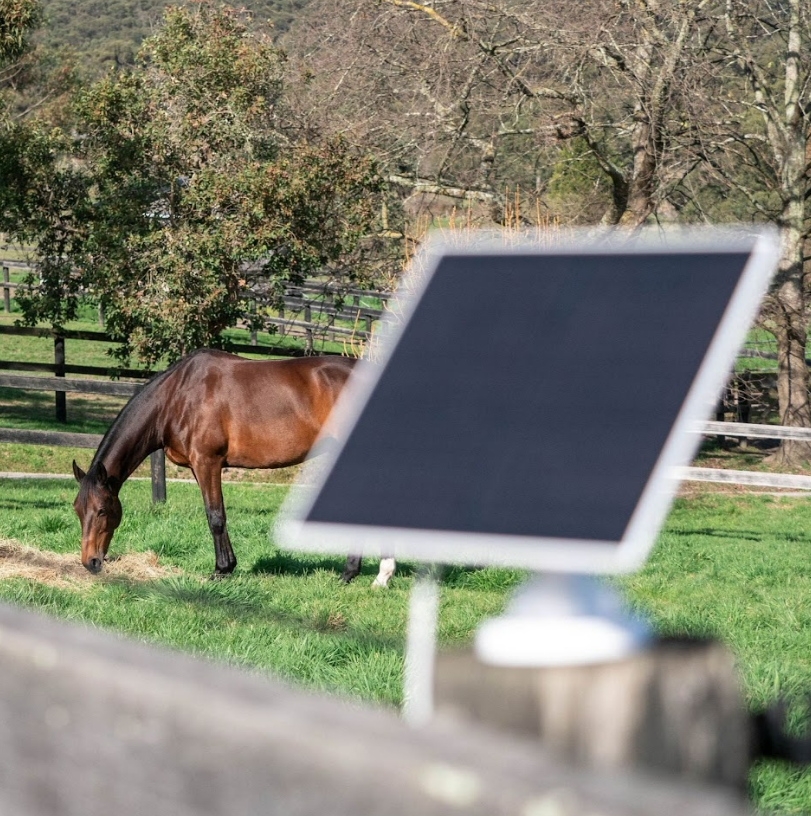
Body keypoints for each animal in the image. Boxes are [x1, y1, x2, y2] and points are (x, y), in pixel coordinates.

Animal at [71, 348, 376, 584]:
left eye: (101, 510)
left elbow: (215, 517)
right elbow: (216, 513)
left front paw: (220, 570)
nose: (90, 562)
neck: (176, 396)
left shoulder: (208, 461)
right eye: (77, 510)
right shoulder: (199, 466)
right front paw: (228, 566)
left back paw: (351, 573)